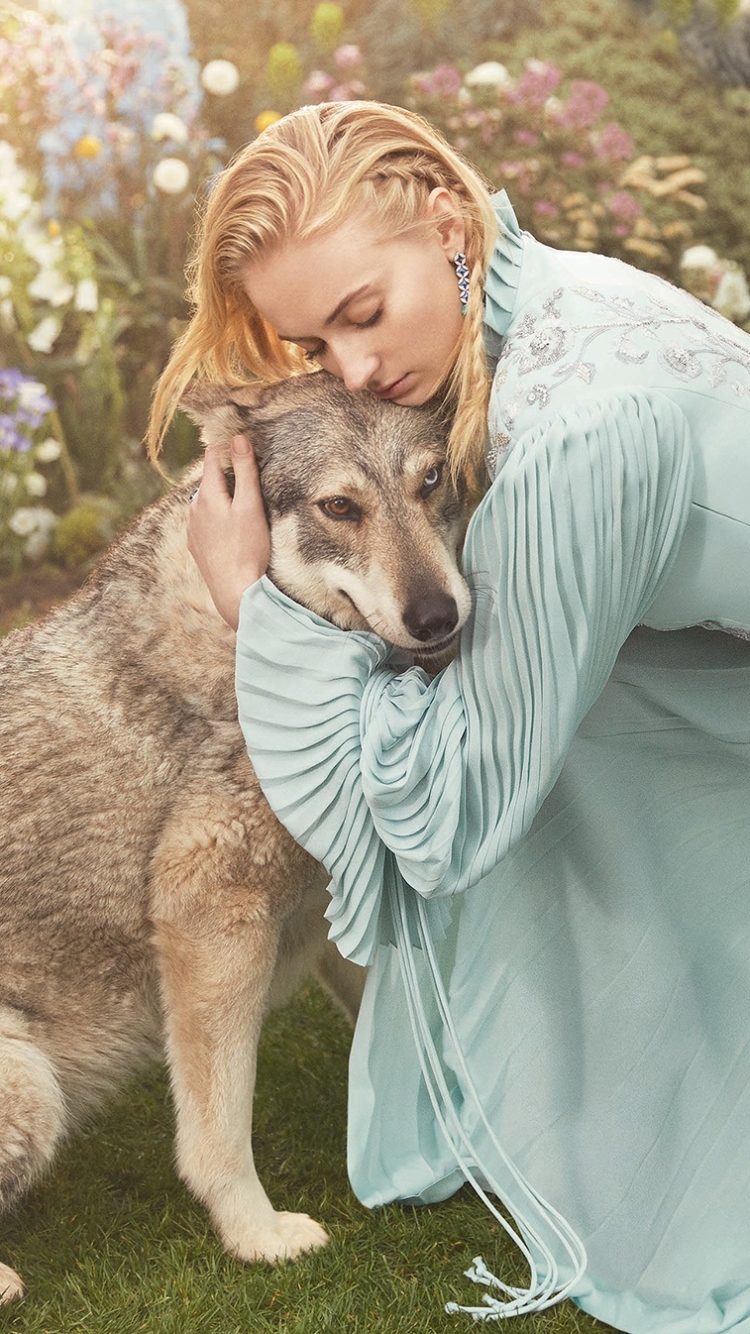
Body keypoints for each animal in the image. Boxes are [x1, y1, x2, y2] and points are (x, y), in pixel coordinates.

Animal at [0, 373, 467, 1301]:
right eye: (340, 507)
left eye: (431, 481)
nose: (439, 617)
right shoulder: (213, 916)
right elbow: (218, 1133)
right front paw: (255, 1236)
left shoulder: (324, 908)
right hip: (30, 1086)